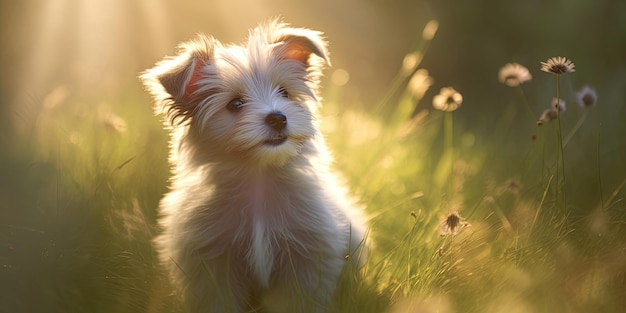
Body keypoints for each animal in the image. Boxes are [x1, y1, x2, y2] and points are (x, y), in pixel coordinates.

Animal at [140, 19, 368, 312]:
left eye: (284, 92)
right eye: (235, 104)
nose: (278, 118)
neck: (259, 178)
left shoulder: (307, 257)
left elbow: (297, 300)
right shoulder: (213, 262)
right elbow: (219, 301)